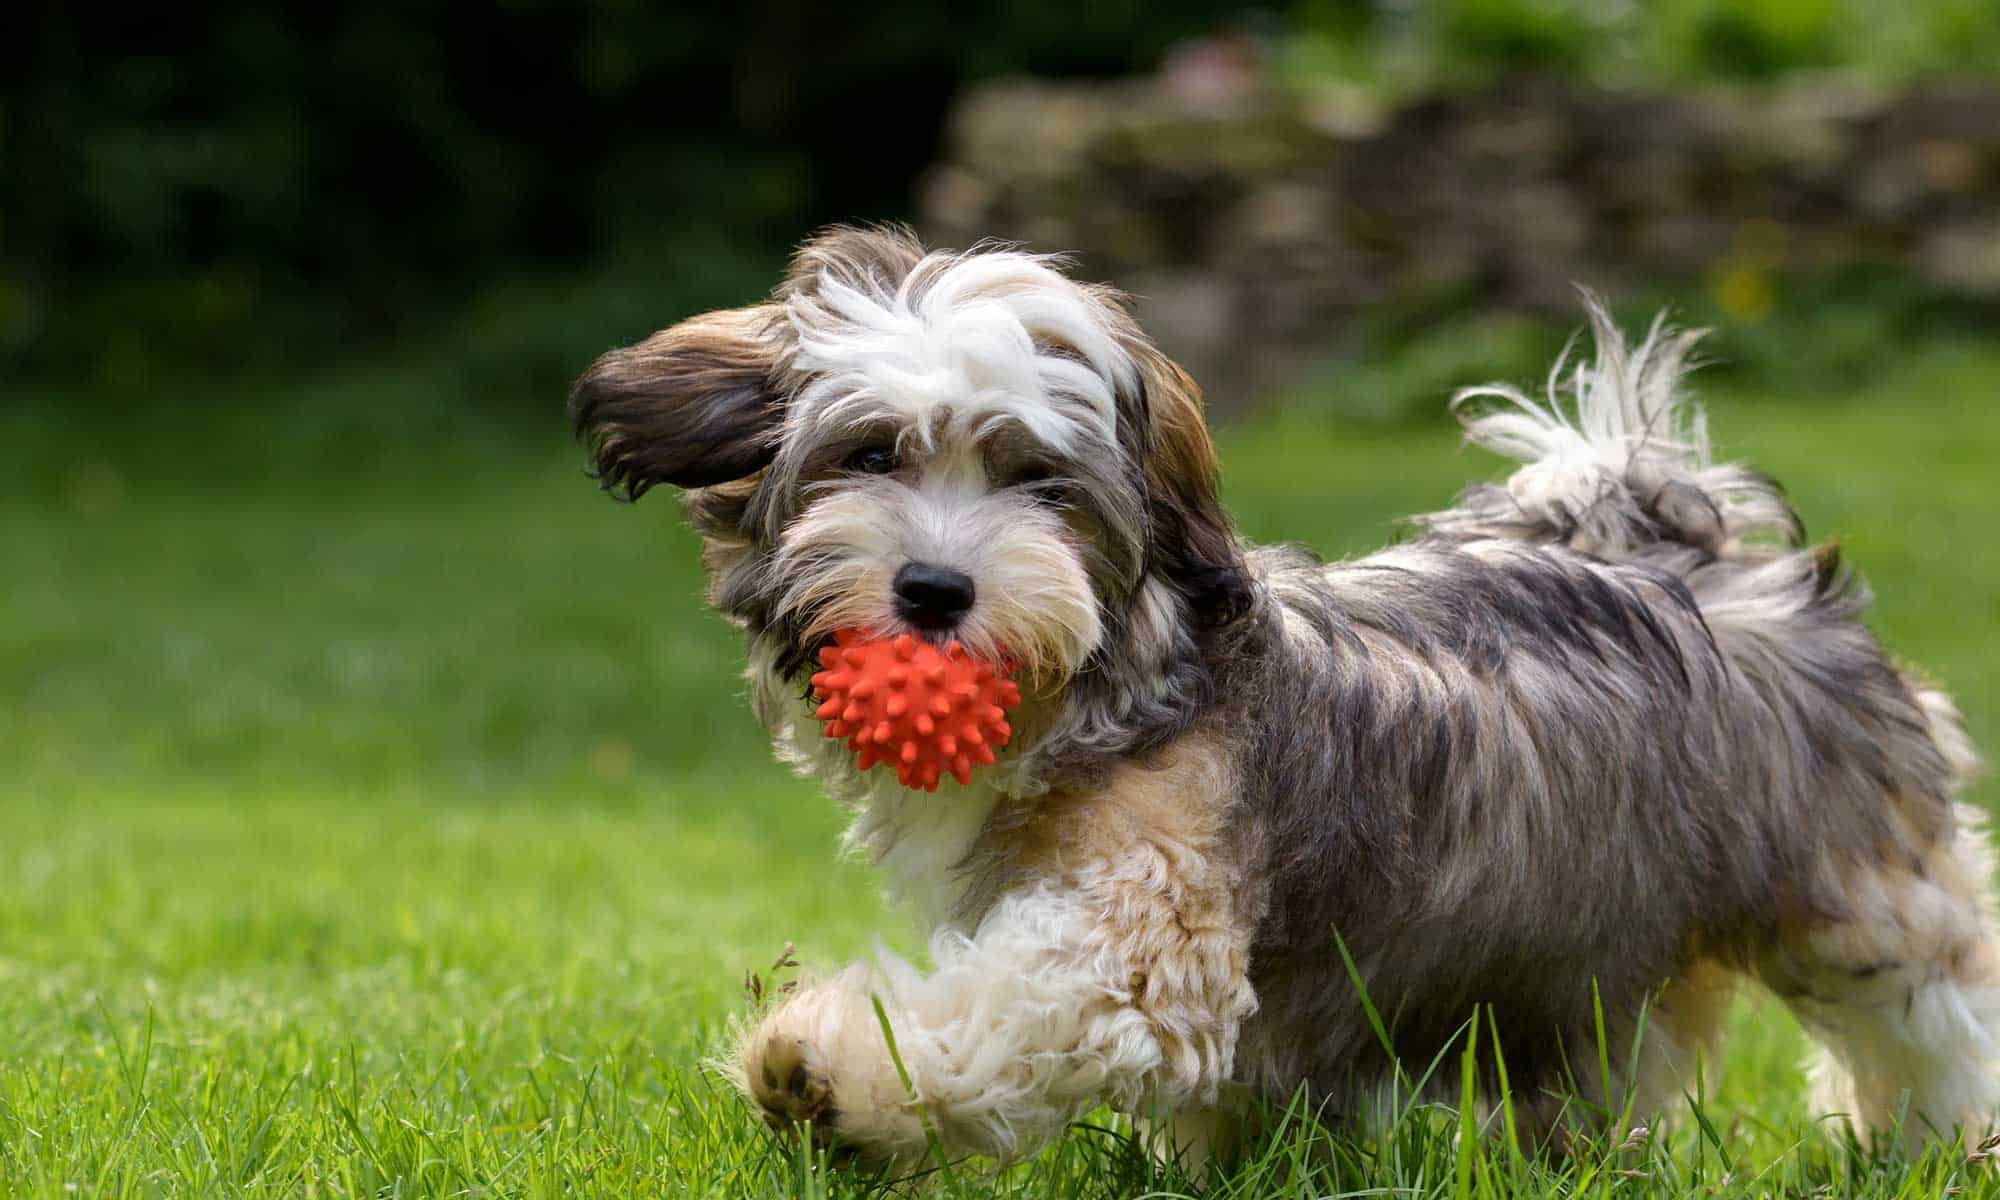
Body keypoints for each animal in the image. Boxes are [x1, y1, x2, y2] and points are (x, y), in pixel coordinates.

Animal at [572, 225, 1992, 1168]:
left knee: (1930, 1000)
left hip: (1854, 884)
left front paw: (829, 1070)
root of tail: (1696, 551)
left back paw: (1929, 1142)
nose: (932, 590)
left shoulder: (1142, 933)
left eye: (1038, 483)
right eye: (868, 457)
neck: (1108, 688)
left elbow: (1018, 1003)